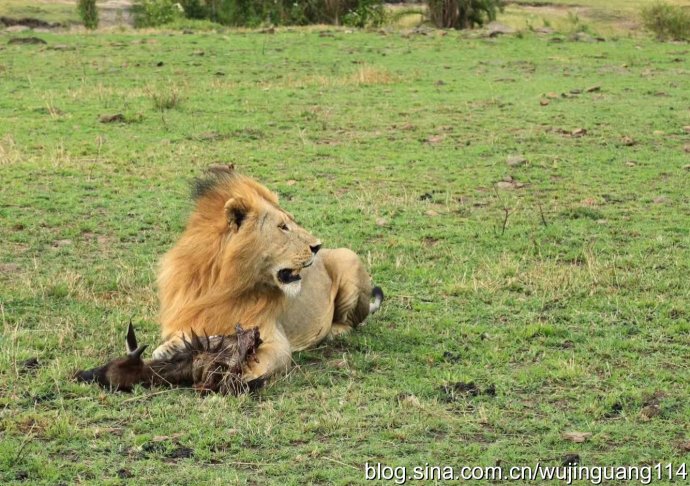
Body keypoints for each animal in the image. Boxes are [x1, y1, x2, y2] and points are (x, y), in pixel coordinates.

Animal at [151, 165, 384, 382]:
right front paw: (167, 349)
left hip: (348, 258)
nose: (317, 246)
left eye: (291, 222)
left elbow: (257, 363)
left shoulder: (275, 342)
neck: (221, 285)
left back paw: (334, 332)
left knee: (352, 322)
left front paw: (229, 375)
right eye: (283, 226)